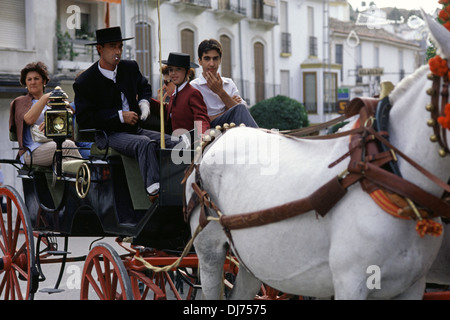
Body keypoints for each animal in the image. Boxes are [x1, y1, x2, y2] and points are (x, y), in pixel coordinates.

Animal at [185, 14, 450, 300]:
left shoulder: (413, 285)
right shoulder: (351, 282)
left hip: (252, 260)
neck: (386, 175)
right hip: (209, 251)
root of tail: (220, 134)